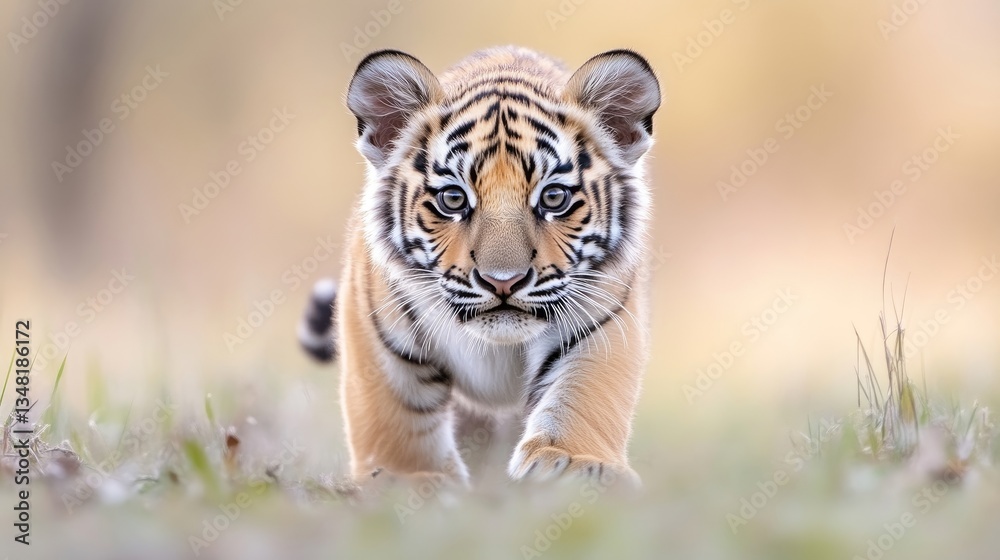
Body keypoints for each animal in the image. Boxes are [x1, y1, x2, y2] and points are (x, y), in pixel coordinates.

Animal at [299, 46, 661, 487]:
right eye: (453, 199)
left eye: (554, 197)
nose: (502, 282)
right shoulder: (376, 328)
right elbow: (396, 413)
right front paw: (408, 478)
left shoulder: (600, 317)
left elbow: (583, 390)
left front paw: (573, 462)